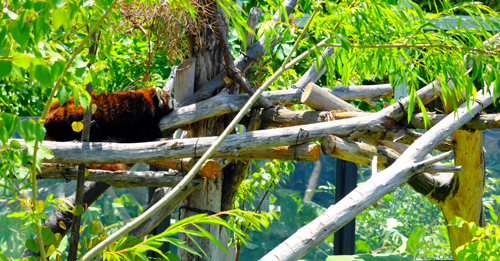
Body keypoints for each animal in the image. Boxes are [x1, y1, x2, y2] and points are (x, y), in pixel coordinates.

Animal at [44, 87, 176, 171]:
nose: (176, 101)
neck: (149, 99)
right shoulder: (140, 114)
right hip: (74, 115)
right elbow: (145, 133)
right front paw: (159, 133)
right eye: (170, 98)